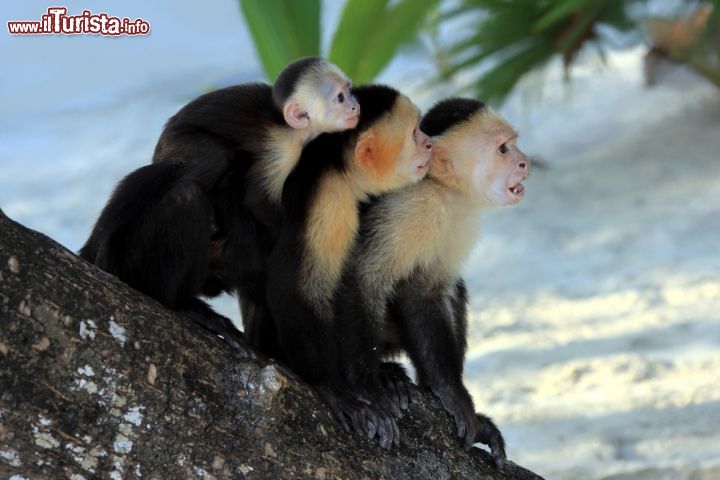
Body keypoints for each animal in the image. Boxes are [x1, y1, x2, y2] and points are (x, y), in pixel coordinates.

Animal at [262, 84, 436, 448]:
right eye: (415, 133)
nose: (431, 143)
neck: (343, 173)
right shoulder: (330, 203)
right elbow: (299, 289)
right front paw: (336, 387)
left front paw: (377, 376)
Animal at [334, 98, 528, 464]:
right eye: (503, 149)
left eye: (514, 145)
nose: (524, 162)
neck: (441, 188)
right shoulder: (411, 209)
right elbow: (365, 277)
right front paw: (375, 386)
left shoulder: (459, 218)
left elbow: (430, 289)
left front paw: (448, 392)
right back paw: (385, 375)